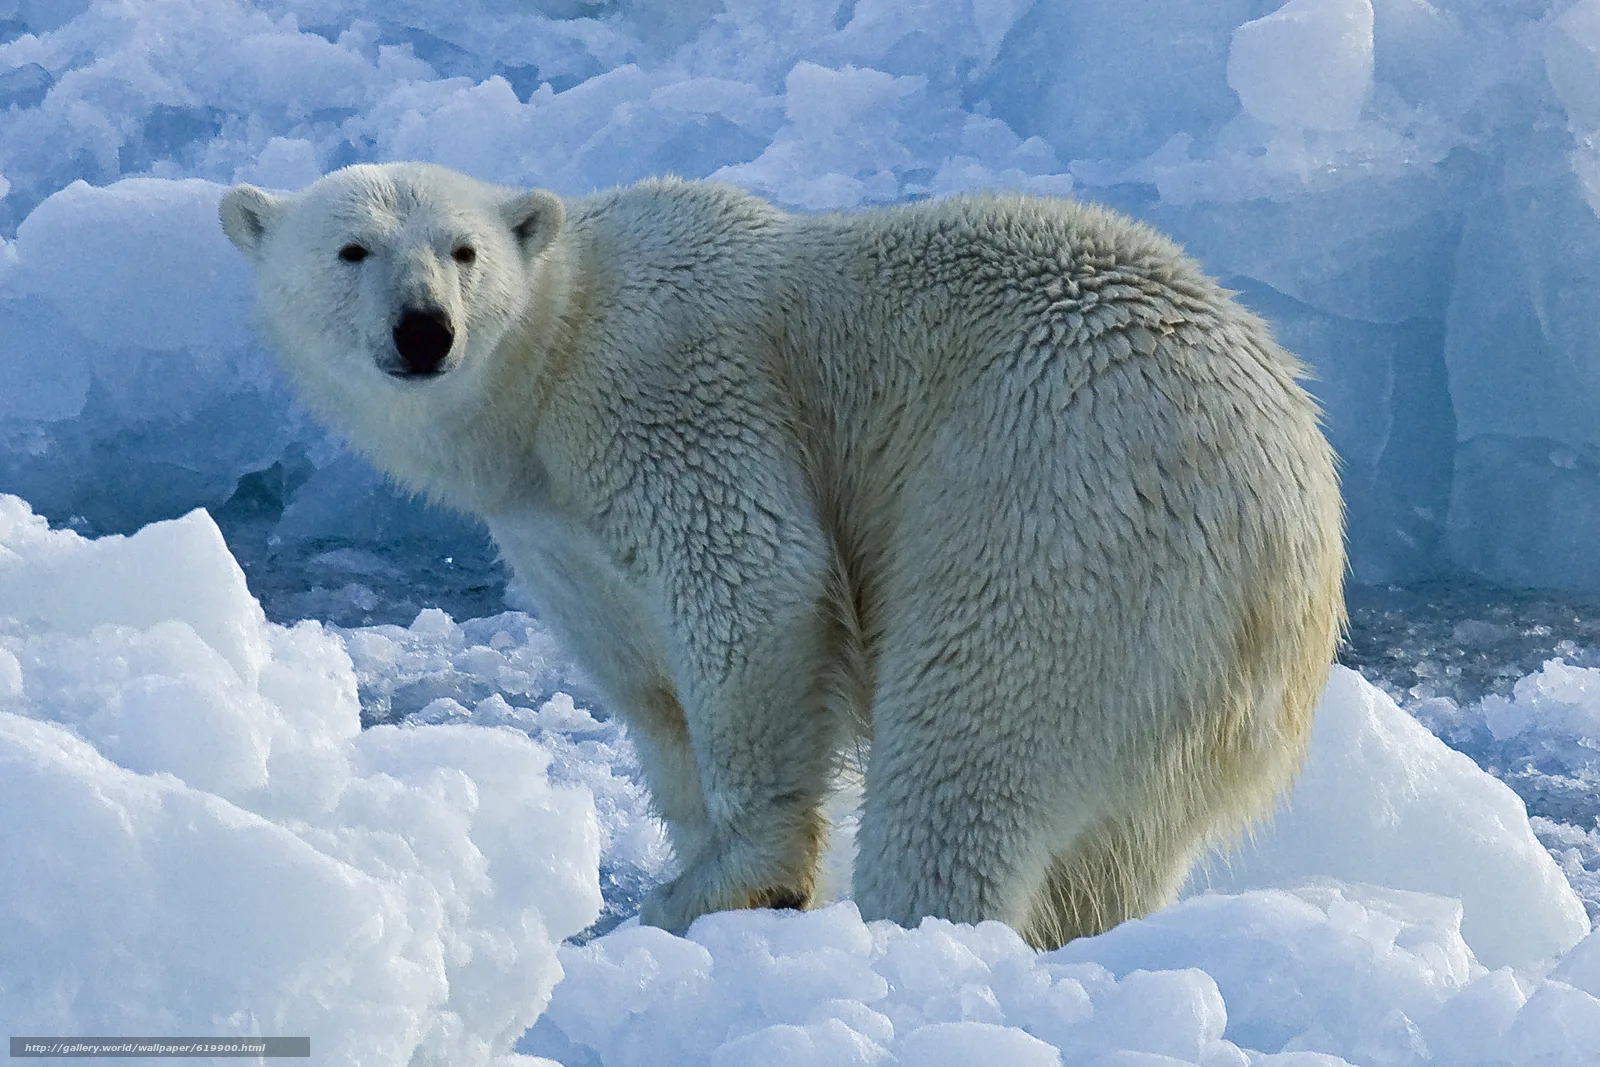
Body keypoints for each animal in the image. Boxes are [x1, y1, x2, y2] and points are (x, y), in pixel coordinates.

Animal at [222, 163, 1350, 947]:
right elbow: (652, 691)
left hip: (1053, 506)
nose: (425, 330)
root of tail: (1296, 517)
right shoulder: (554, 531)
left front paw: (735, 881)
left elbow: (754, 584)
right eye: (352, 249)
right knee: (1116, 852)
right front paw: (695, 861)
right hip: (1186, 689)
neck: (552, 358)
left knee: (969, 746)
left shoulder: (669, 389)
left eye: (461, 250)